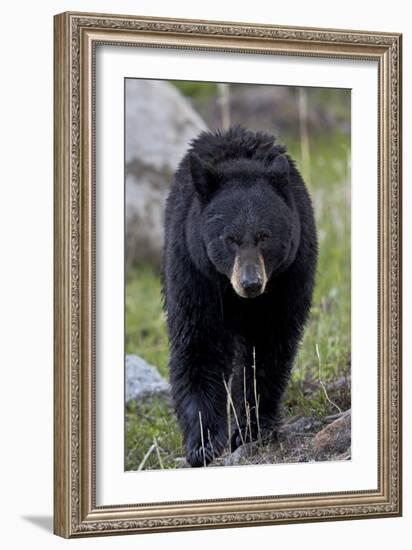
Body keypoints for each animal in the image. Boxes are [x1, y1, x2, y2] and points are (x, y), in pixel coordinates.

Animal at [163, 127, 318, 468]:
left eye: (264, 236)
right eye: (229, 239)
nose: (251, 283)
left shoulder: (288, 277)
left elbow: (268, 347)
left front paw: (251, 428)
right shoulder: (193, 270)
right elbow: (199, 342)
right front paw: (203, 443)